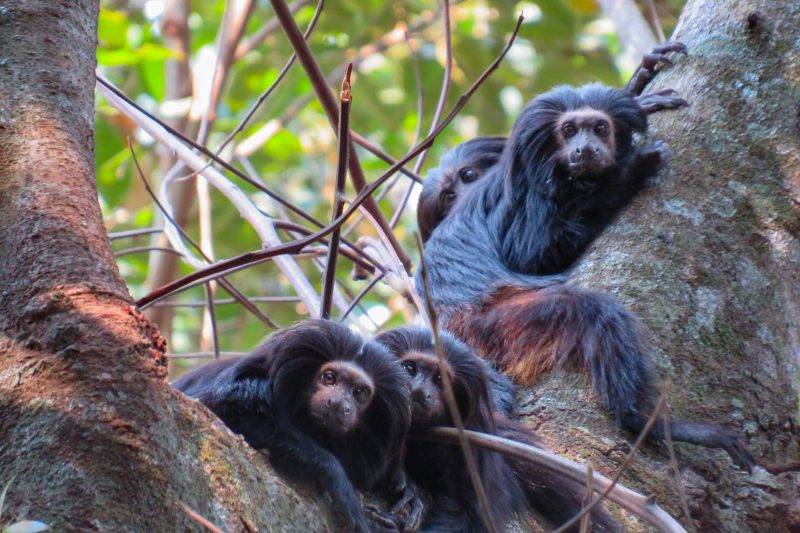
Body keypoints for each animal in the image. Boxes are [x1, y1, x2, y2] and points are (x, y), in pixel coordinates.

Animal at [173, 320, 419, 532]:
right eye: (329, 378)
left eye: (359, 393)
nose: (339, 403)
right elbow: (222, 406)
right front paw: (342, 487)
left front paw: (408, 491)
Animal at [417, 82, 756, 472]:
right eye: (568, 131)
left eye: (599, 128)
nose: (585, 148)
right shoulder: (531, 199)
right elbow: (534, 252)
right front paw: (631, 171)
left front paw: (642, 98)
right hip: (493, 323)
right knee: (592, 311)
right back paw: (647, 422)